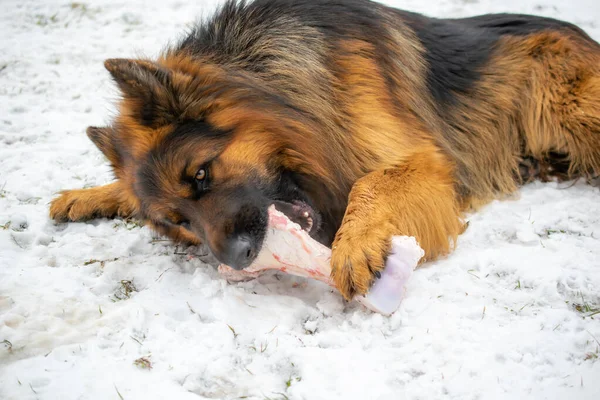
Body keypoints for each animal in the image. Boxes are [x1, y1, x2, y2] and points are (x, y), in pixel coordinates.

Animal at [48, 0, 600, 300]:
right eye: (179, 222)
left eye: (201, 174)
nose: (239, 260)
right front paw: (89, 194)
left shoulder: (423, 160)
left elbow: (371, 182)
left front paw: (355, 245)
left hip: (571, 107)